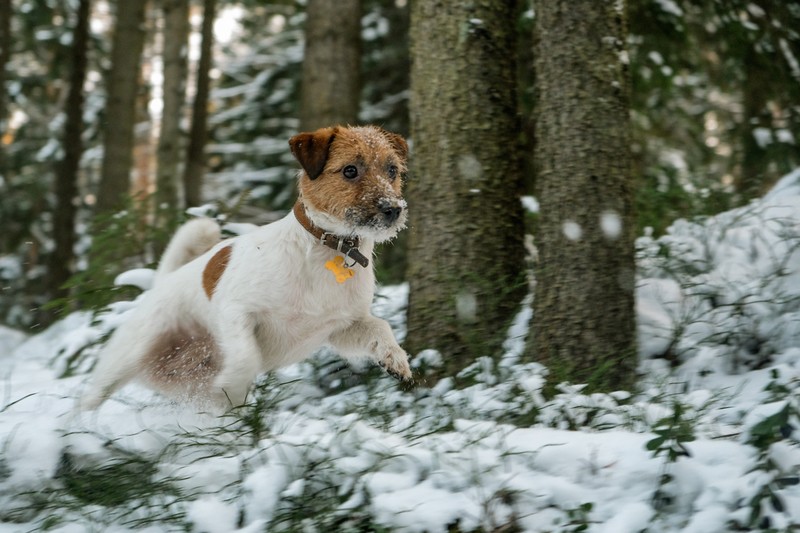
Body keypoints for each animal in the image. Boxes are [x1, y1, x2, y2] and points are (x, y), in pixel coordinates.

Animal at [81, 125, 412, 412]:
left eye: (392, 170)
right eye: (350, 170)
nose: (393, 210)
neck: (329, 249)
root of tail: (164, 281)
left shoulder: (342, 328)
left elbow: (380, 327)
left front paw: (396, 358)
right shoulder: (236, 311)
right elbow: (246, 356)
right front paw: (233, 382)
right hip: (124, 360)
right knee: (86, 403)